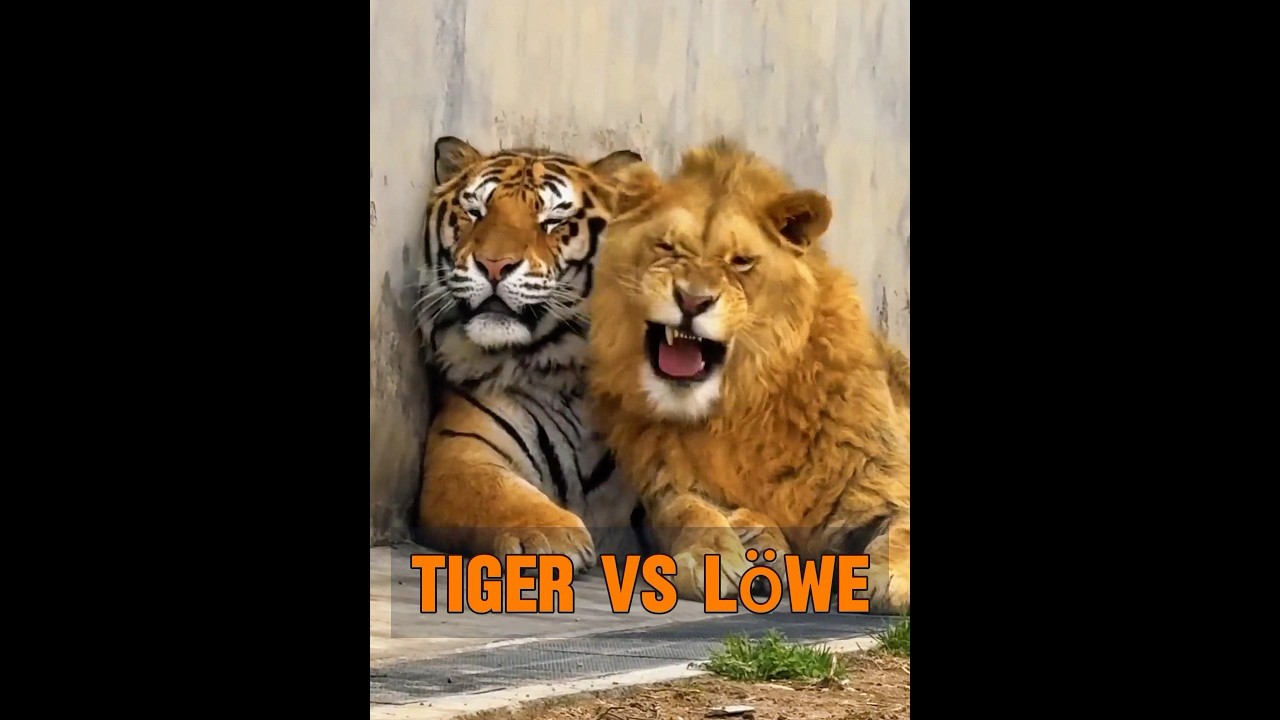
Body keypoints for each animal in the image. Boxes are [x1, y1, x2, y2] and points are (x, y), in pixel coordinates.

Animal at [412, 136, 657, 574]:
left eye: (553, 220)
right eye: (475, 211)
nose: (493, 265)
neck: (564, 372)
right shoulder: (459, 454)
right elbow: (496, 493)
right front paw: (551, 537)